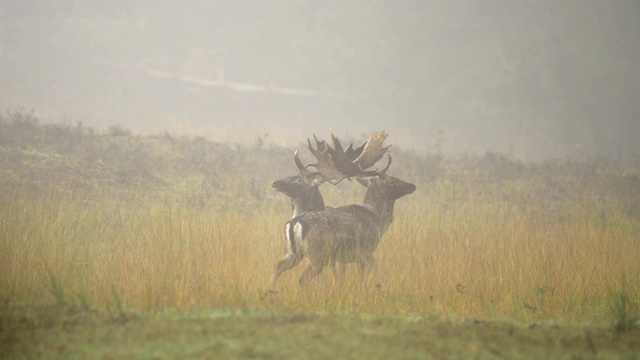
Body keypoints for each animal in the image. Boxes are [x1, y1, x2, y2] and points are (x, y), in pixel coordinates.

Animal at [268, 131, 416, 292]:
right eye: (393, 181)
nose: (412, 185)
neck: (377, 219)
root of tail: (295, 222)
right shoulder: (366, 252)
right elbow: (366, 276)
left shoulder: (343, 259)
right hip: (318, 254)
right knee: (302, 278)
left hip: (293, 252)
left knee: (277, 266)